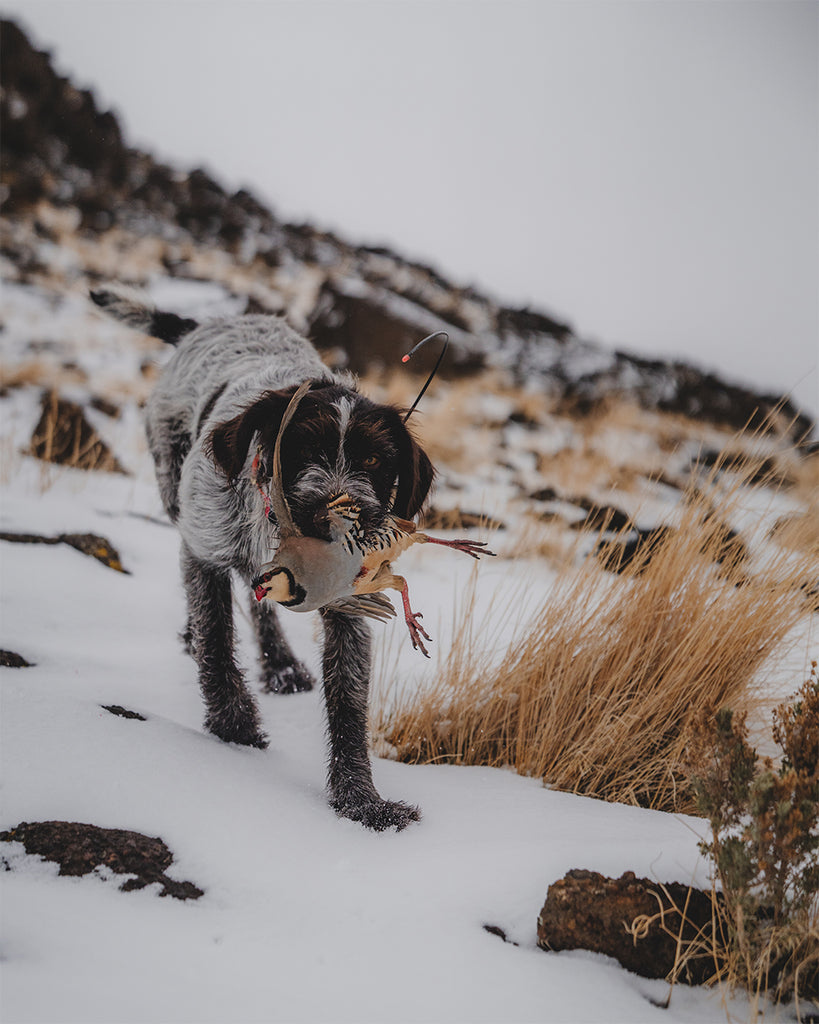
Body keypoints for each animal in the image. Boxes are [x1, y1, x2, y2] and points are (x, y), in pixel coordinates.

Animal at [91, 284, 434, 827]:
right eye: (303, 448)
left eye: (374, 459)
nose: (339, 519)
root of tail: (205, 324)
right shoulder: (206, 550)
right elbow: (215, 635)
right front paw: (233, 724)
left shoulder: (349, 598)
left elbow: (348, 696)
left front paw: (360, 799)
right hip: (174, 490)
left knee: (261, 602)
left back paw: (281, 664)